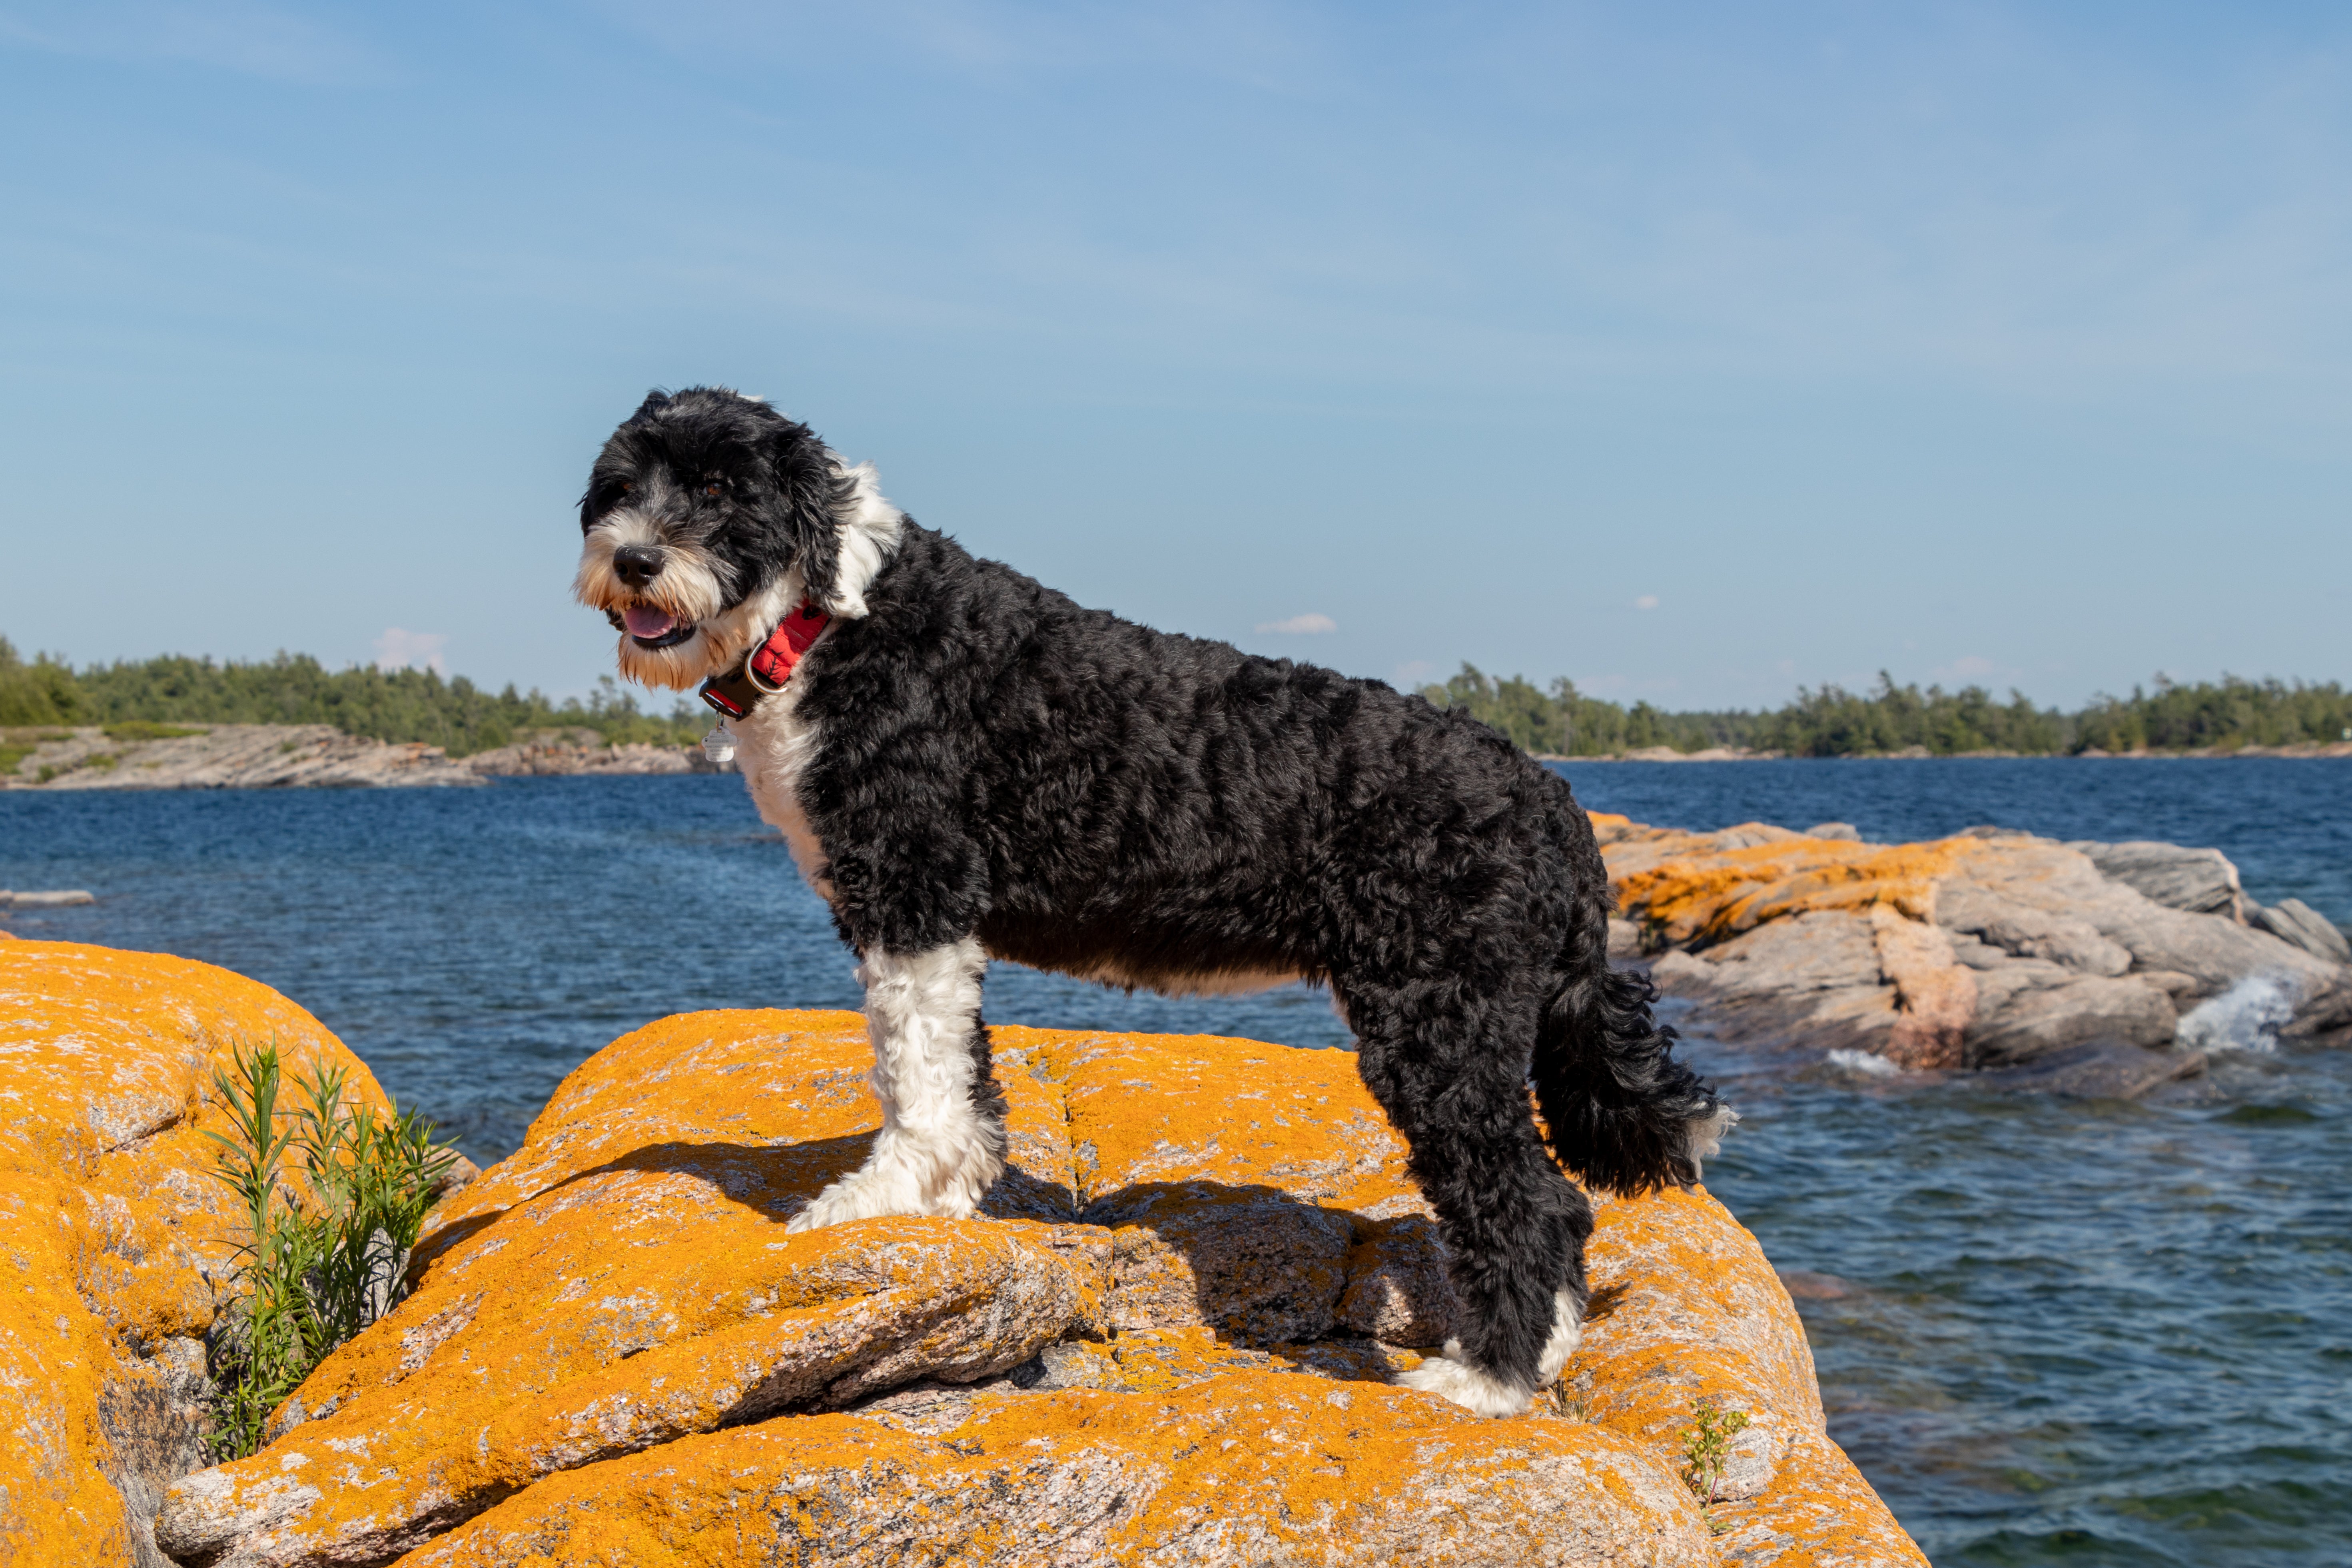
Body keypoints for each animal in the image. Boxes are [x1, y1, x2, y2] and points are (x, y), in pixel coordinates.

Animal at [579, 385, 1740, 1420]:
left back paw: (1486, 1379)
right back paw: (1541, 1356)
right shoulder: (928, 918)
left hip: (1439, 1020)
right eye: (620, 487)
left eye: (721, 491)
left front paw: (883, 1199)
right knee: (1564, 1211)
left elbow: (916, 1072)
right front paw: (950, 1197)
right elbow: (960, 1070)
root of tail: (1552, 800)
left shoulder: (910, 891)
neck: (829, 621)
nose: (633, 558)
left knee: (1529, 1202)